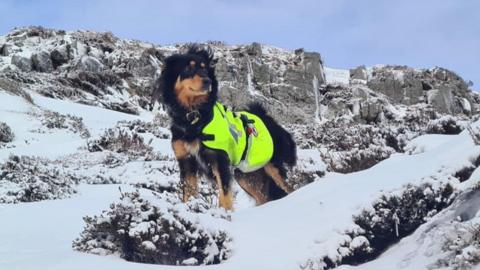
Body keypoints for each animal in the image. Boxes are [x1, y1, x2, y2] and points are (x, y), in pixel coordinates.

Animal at [153, 46, 296, 211]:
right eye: (188, 68)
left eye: (205, 69)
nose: (207, 81)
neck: (195, 115)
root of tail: (271, 121)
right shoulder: (186, 160)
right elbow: (188, 193)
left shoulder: (219, 158)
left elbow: (224, 193)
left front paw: (225, 213)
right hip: (247, 175)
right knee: (265, 197)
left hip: (273, 166)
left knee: (290, 188)